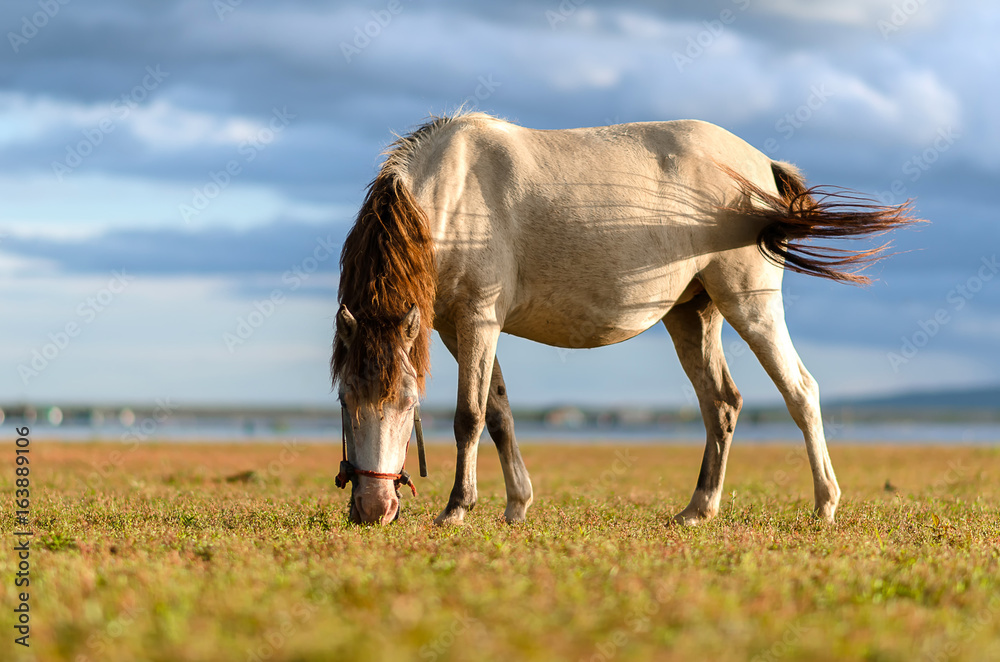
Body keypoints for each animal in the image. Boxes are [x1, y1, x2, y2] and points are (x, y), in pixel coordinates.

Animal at [332, 113, 916, 528]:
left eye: (409, 402)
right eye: (345, 399)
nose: (373, 510)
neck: (453, 196)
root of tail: (763, 166)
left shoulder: (478, 322)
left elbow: (469, 416)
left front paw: (457, 508)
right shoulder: (459, 329)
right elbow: (498, 412)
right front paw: (516, 505)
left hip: (750, 305)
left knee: (800, 392)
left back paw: (825, 505)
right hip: (692, 314)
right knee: (722, 405)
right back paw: (698, 509)